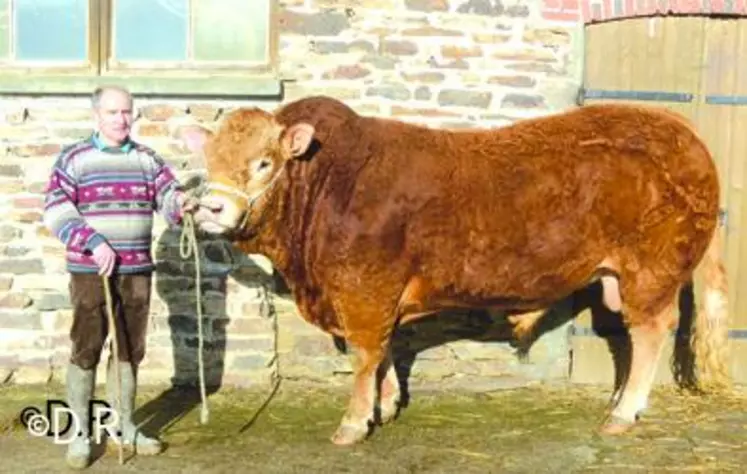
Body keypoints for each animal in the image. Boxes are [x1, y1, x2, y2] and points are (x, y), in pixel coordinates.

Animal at [180, 95, 732, 444]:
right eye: (210, 161)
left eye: (263, 163)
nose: (211, 209)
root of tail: (677, 128)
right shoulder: (380, 296)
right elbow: (384, 353)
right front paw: (385, 405)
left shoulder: (363, 290)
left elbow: (364, 355)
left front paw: (354, 422)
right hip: (620, 276)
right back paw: (620, 399)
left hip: (650, 272)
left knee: (651, 331)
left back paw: (623, 412)